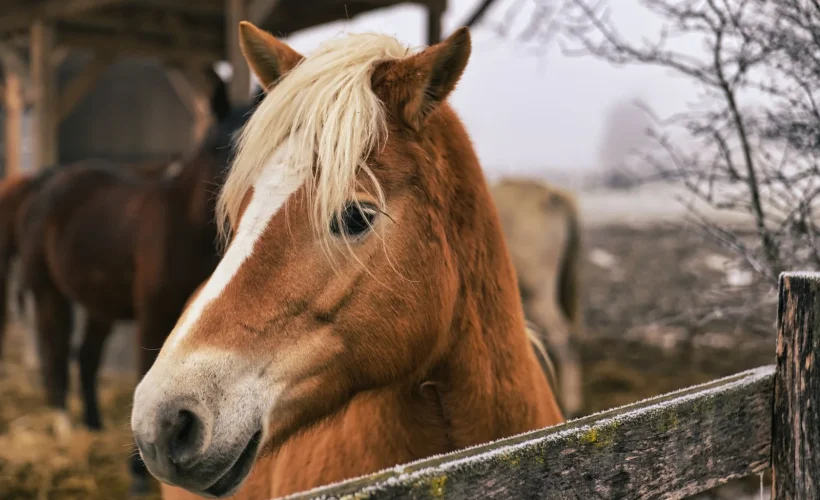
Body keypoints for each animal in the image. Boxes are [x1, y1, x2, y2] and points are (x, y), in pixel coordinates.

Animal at [18, 73, 261, 494]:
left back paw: (93, 428)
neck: (186, 225)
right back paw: (65, 432)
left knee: (86, 357)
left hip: (99, 304)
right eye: (221, 145)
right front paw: (138, 474)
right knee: (56, 354)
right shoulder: (153, 319)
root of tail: (50, 184)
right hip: (50, 294)